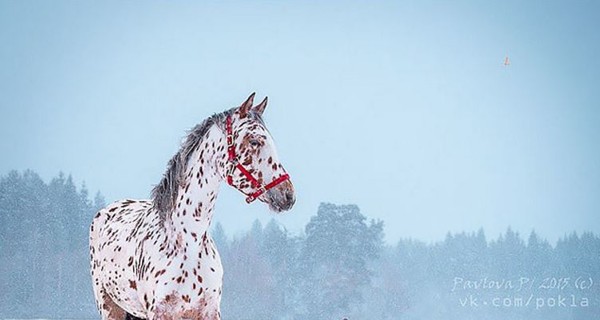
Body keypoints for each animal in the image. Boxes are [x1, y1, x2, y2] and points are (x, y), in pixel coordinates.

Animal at [89, 93, 296, 320]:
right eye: (255, 141)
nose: (288, 194)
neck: (188, 243)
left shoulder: (209, 312)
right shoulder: (160, 313)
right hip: (109, 306)